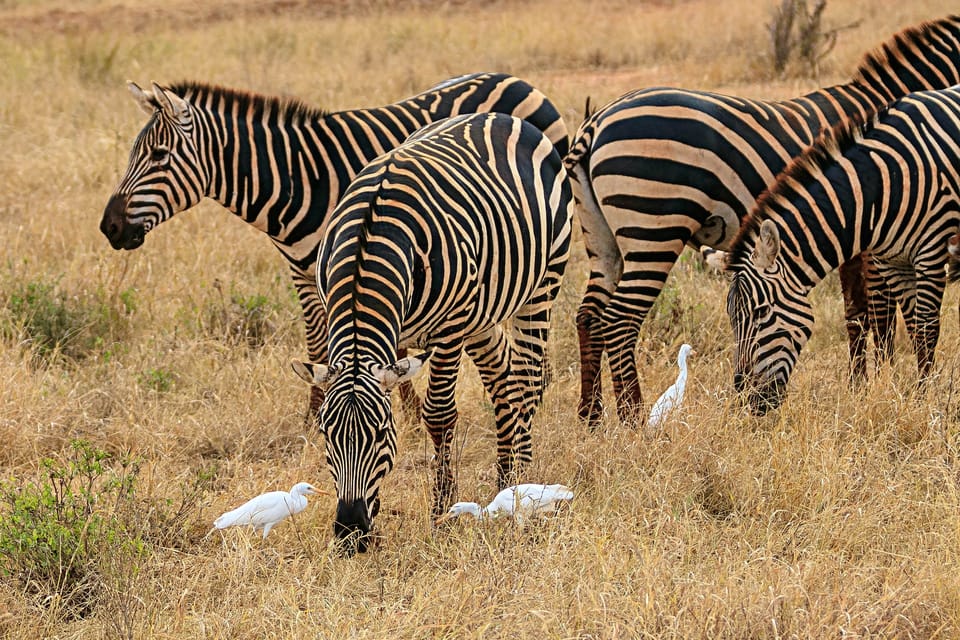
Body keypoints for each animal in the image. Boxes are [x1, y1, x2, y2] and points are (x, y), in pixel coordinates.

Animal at [100, 72, 568, 420]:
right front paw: (313, 416)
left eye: (159, 156)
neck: (300, 182)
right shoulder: (306, 275)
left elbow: (386, 348)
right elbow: (317, 345)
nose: (109, 227)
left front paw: (408, 413)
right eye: (136, 153)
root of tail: (516, 79)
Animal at [284, 112, 568, 552]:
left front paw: (441, 511)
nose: (350, 533)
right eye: (328, 435)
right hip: (483, 312)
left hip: (541, 285)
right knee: (503, 377)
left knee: (525, 380)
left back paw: (521, 480)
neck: (369, 244)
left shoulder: (449, 329)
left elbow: (439, 415)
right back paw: (505, 478)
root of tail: (499, 116)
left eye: (380, 434)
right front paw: (377, 514)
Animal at [724, 86, 960, 416]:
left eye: (761, 312)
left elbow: (926, 331)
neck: (879, 186)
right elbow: (914, 329)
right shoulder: (891, 262)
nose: (747, 400)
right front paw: (916, 396)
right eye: (732, 318)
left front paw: (925, 400)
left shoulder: (931, 252)